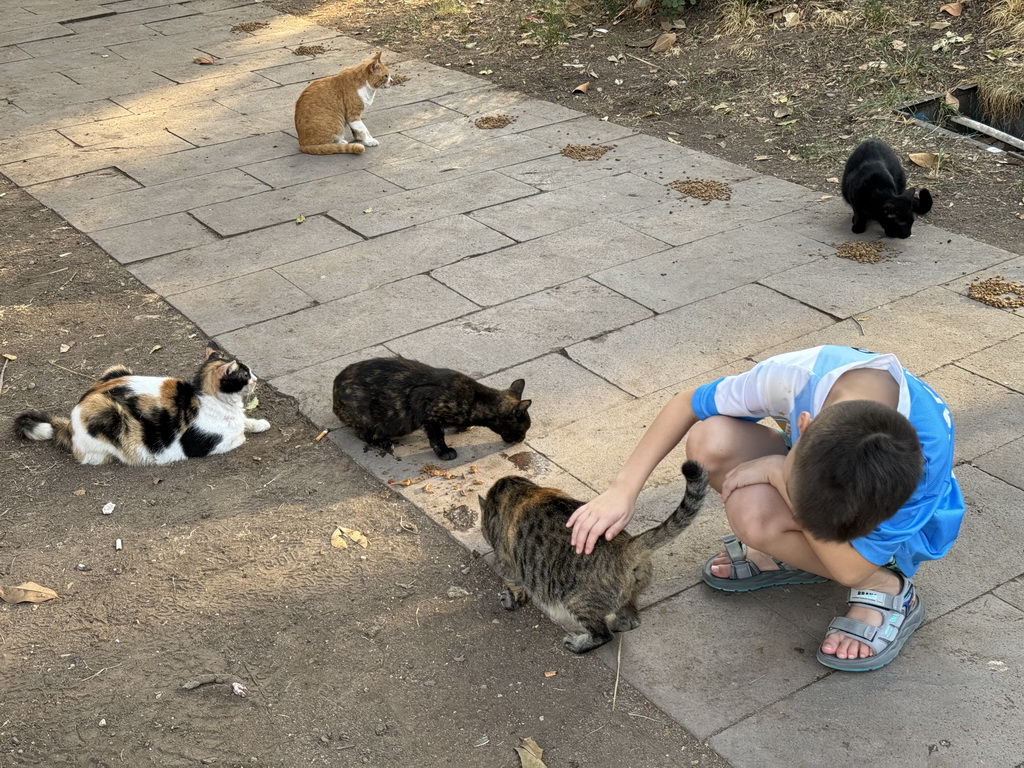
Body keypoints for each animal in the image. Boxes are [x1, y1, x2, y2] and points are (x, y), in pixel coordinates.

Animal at [14, 350, 270, 468]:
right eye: (246, 375)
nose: (257, 378)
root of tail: (70, 423)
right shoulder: (202, 443)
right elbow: (239, 436)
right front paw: (245, 431)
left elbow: (245, 422)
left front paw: (260, 423)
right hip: (107, 412)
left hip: (117, 368)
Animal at [331, 356, 532, 460]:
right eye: (523, 428)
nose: (522, 438)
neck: (476, 398)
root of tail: (334, 388)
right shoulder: (429, 415)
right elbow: (437, 437)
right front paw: (444, 452)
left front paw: (463, 427)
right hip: (372, 418)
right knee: (363, 433)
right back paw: (384, 442)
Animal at [481, 462, 708, 655]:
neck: (518, 490)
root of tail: (625, 546)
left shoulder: (506, 564)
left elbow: (513, 585)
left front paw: (510, 599)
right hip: (627, 594)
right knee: (631, 620)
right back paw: (616, 623)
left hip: (576, 601)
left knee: (602, 634)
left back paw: (579, 643)